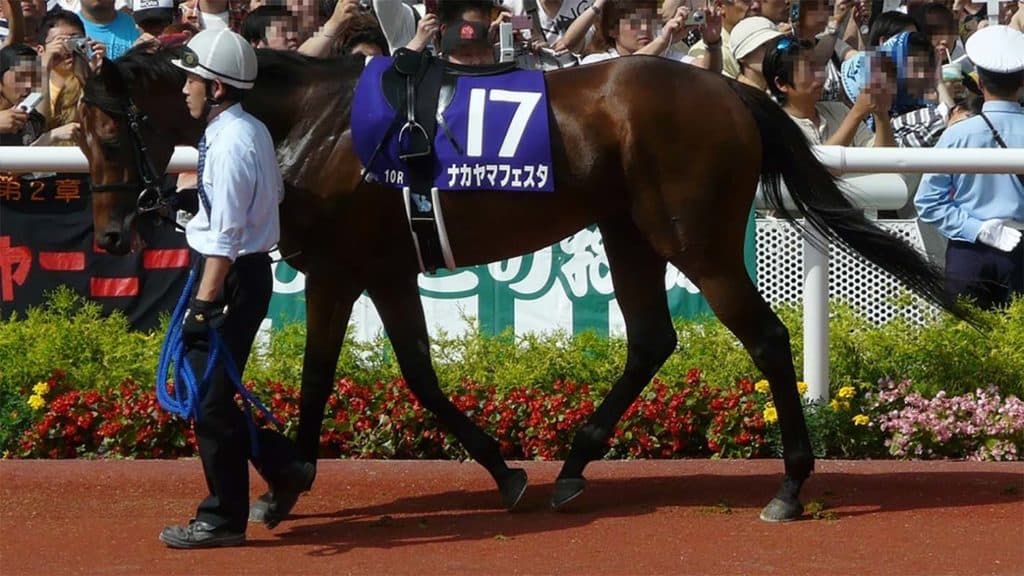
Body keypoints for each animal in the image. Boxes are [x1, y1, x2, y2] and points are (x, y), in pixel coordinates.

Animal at [76, 45, 973, 523]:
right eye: (82, 139)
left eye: (108, 135)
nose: (114, 236)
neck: (310, 124)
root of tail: (728, 87)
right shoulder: (389, 269)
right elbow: (419, 375)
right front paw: (503, 470)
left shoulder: (337, 270)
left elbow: (318, 379)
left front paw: (284, 488)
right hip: (628, 232)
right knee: (652, 338)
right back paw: (573, 465)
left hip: (696, 240)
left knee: (766, 337)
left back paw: (789, 484)